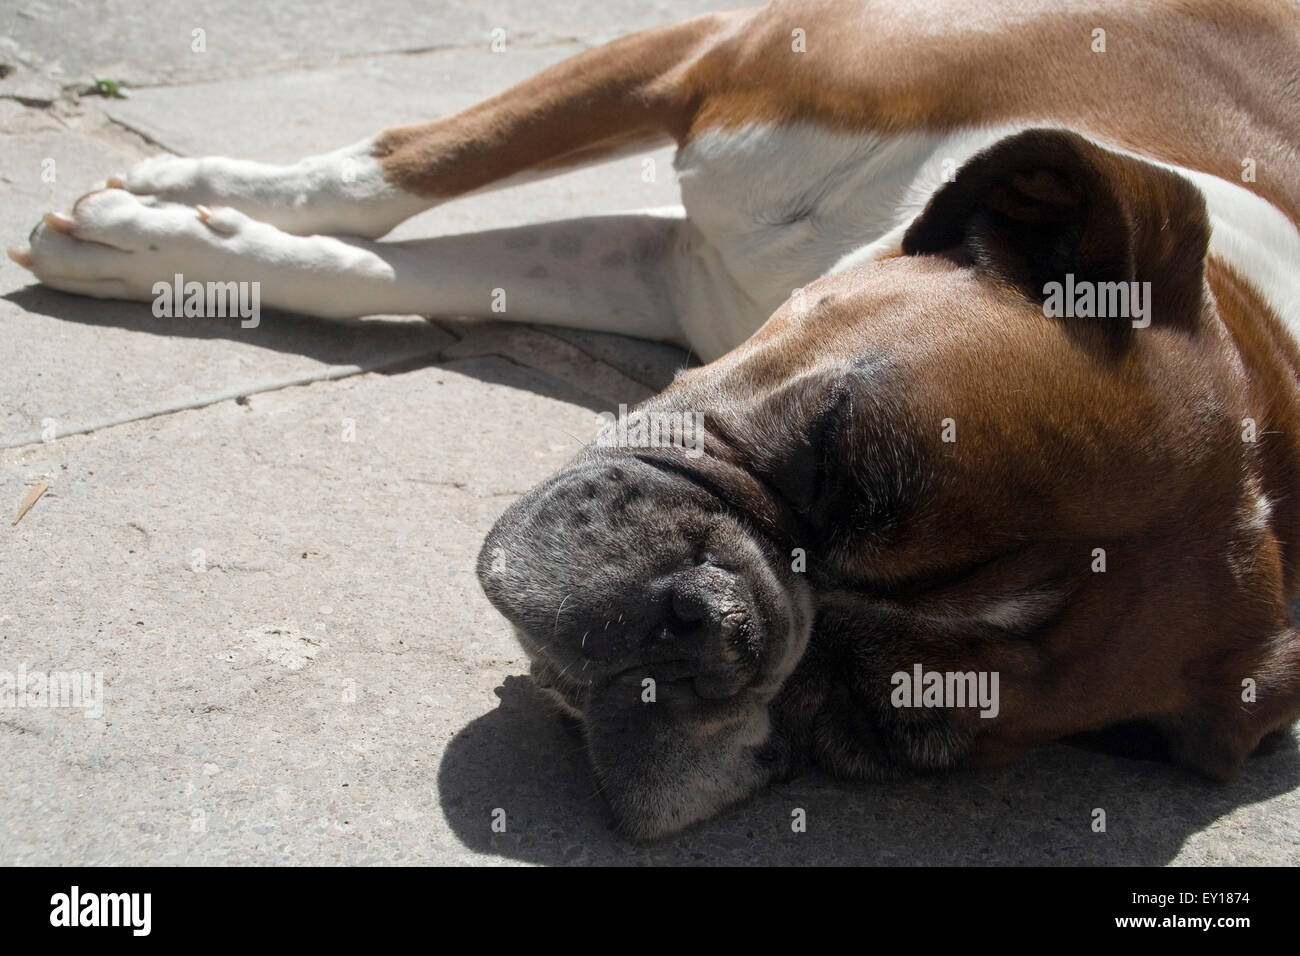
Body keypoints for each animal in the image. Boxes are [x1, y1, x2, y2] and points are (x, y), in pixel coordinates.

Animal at [10, 0, 1300, 837]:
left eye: (879, 722)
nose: (722, 629)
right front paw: (166, 229)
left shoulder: (648, 264)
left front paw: (191, 247)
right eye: (832, 446)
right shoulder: (702, 51)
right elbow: (392, 169)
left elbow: (402, 268)